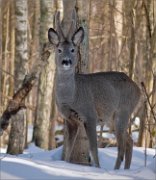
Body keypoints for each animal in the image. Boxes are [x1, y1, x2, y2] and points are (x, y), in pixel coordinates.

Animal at [48, 11, 141, 169]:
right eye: (59, 50)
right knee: (129, 141)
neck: (72, 96)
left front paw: (97, 168)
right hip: (111, 118)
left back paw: (116, 170)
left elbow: (93, 149)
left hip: (123, 111)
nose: (66, 61)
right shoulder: (70, 120)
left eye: (73, 50)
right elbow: (68, 150)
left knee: (121, 146)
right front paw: (65, 165)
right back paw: (125, 170)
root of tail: (138, 90)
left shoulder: (90, 114)